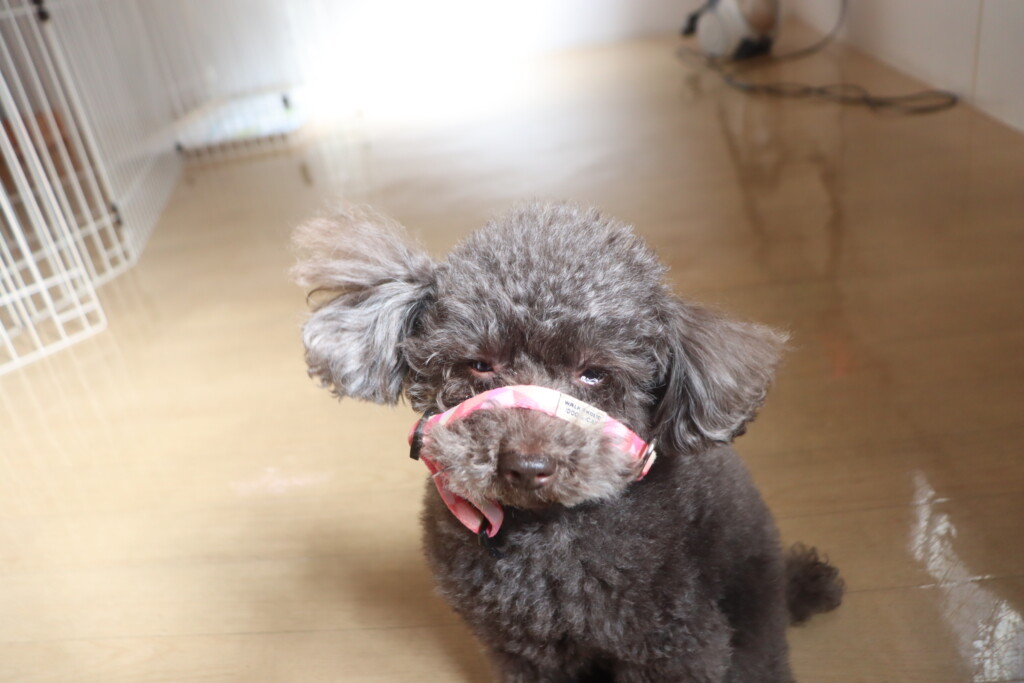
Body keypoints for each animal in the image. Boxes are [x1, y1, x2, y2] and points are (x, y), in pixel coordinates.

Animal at [293, 202, 843, 682]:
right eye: (479, 364)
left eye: (594, 373)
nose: (526, 465)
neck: (545, 532)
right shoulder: (523, 651)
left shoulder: (675, 645)